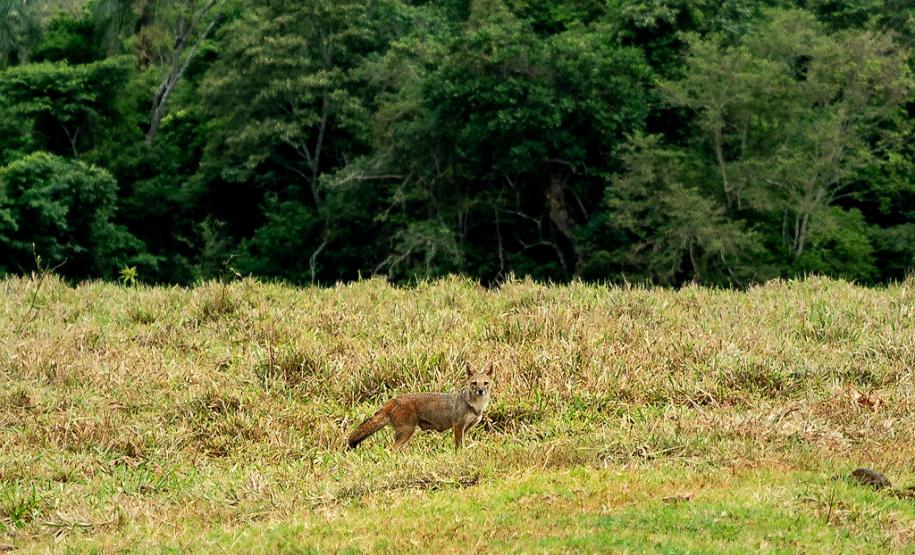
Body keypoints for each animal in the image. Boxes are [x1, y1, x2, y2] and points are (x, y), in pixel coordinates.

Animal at [347, 362, 494, 451]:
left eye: (485, 383)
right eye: (474, 383)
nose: (481, 391)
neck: (475, 406)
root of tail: (392, 401)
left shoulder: (466, 429)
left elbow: (462, 445)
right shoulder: (458, 426)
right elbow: (458, 447)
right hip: (407, 432)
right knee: (391, 450)